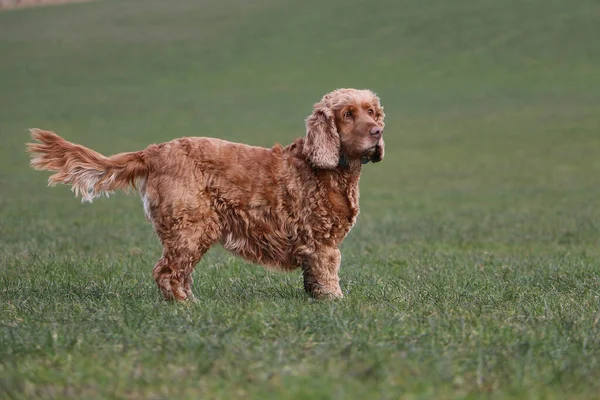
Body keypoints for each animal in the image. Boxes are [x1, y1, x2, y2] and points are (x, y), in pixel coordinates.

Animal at [27, 87, 384, 300]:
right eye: (348, 114)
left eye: (371, 111)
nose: (378, 131)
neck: (330, 168)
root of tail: (153, 151)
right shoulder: (322, 244)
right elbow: (328, 276)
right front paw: (335, 302)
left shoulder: (313, 246)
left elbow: (312, 280)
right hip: (190, 228)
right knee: (166, 272)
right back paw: (185, 306)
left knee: (177, 273)